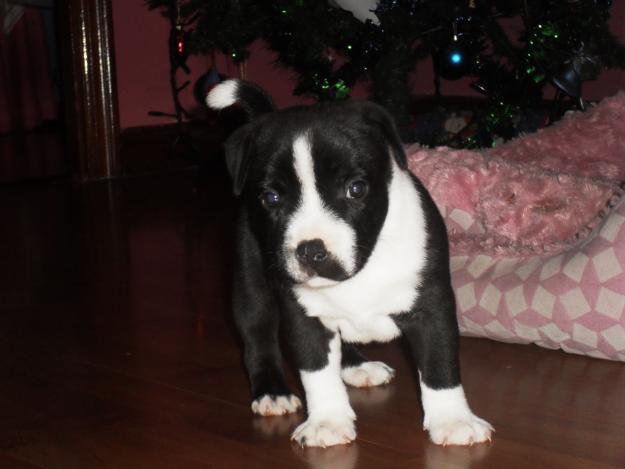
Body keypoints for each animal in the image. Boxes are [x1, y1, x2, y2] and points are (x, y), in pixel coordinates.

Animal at [207, 79, 490, 446]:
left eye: (356, 189)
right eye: (271, 198)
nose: (311, 250)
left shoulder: (432, 304)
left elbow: (440, 362)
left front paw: (453, 419)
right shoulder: (304, 315)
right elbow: (316, 370)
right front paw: (326, 420)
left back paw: (355, 366)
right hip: (250, 284)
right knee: (258, 335)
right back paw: (272, 391)